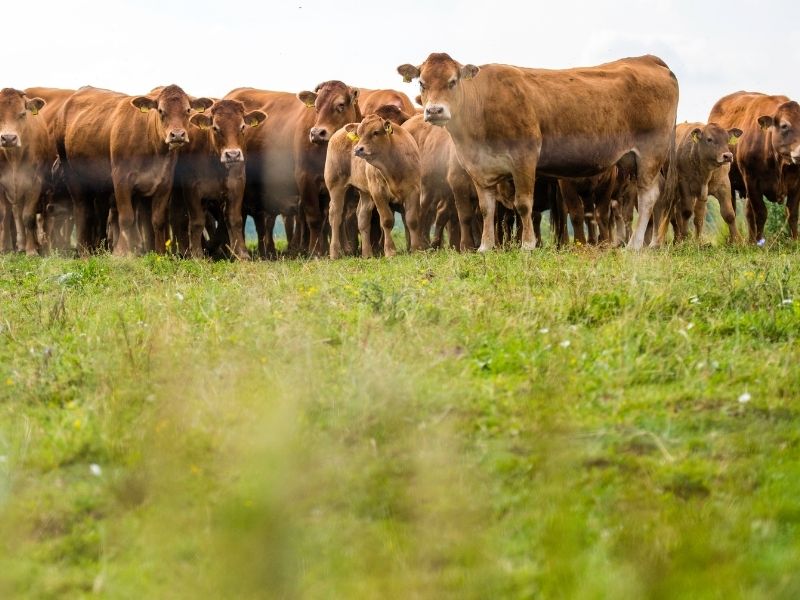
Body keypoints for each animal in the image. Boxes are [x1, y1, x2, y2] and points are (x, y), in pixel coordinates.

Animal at [57, 84, 212, 253]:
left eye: (188, 110)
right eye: (161, 110)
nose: (177, 135)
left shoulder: (165, 183)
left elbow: (158, 220)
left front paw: (160, 253)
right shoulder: (121, 179)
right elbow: (126, 219)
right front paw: (123, 253)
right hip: (72, 176)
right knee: (82, 210)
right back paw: (84, 251)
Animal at [324, 115, 424, 258]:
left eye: (376, 132)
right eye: (359, 134)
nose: (358, 149)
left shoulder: (414, 190)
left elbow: (412, 220)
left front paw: (416, 249)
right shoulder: (378, 193)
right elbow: (387, 221)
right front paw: (390, 251)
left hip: (365, 191)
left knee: (363, 216)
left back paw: (367, 254)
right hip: (335, 185)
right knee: (335, 216)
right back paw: (334, 253)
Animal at [396, 51, 680, 251]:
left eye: (453, 81)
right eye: (422, 83)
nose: (434, 111)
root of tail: (648, 59)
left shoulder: (524, 158)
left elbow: (523, 205)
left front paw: (527, 244)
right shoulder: (479, 168)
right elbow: (487, 208)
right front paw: (485, 246)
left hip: (651, 152)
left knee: (649, 197)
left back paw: (635, 244)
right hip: (633, 160)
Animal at [708, 91, 800, 241]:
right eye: (784, 126)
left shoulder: (796, 184)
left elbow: (792, 214)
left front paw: (795, 240)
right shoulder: (752, 182)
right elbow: (761, 213)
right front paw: (760, 241)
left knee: (748, 213)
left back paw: (750, 240)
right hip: (727, 182)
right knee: (732, 210)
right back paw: (736, 241)